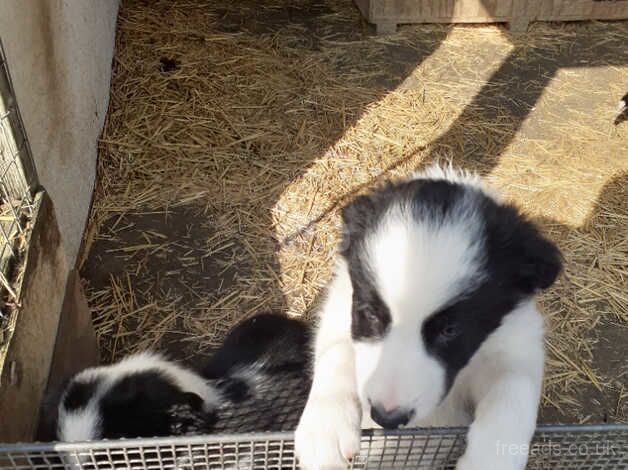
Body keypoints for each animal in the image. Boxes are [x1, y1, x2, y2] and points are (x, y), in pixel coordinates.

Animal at [296, 165, 564, 470]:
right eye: (370, 314)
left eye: (450, 330)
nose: (386, 417)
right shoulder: (340, 308)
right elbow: (336, 351)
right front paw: (325, 428)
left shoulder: (516, 343)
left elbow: (514, 386)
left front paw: (491, 458)